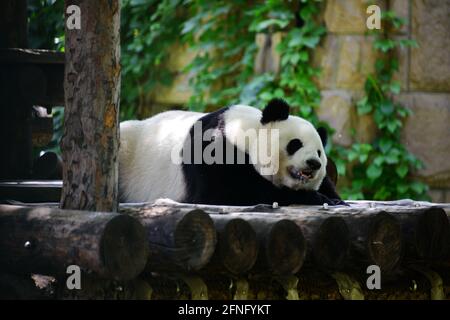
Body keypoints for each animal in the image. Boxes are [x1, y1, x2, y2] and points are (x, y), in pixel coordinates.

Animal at [118, 99, 344, 206]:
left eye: (319, 152)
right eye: (295, 144)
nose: (314, 163)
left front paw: (334, 199)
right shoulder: (213, 150)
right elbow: (228, 192)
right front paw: (315, 198)